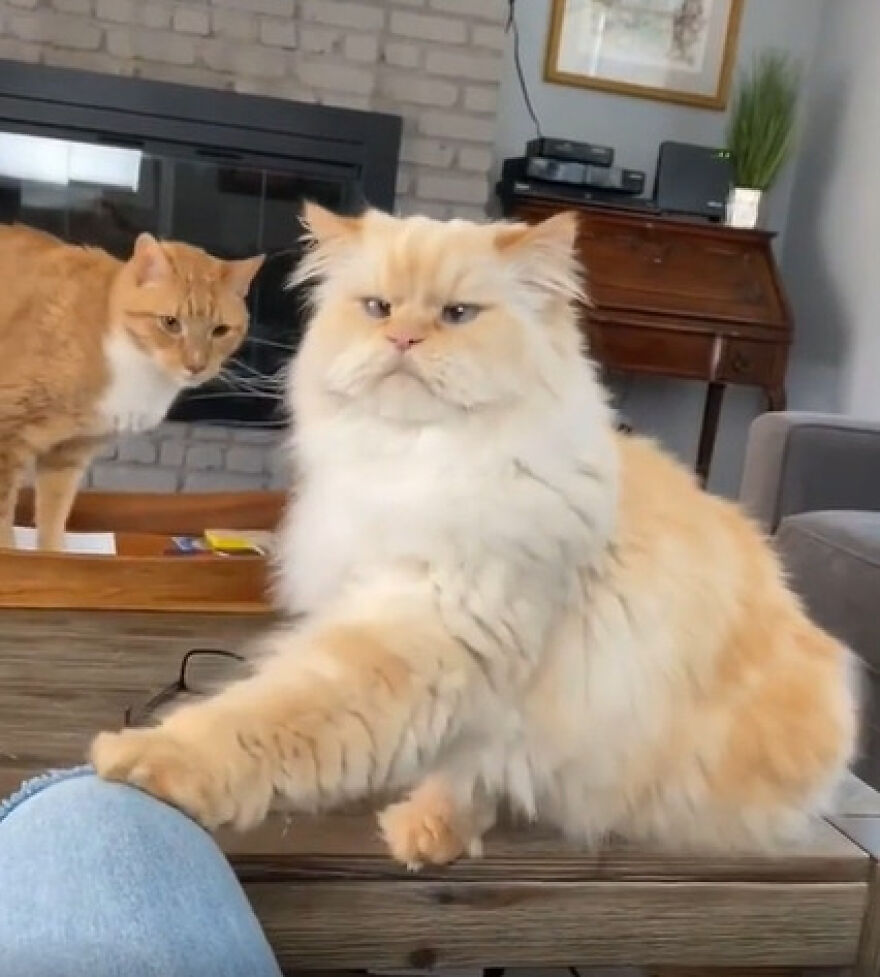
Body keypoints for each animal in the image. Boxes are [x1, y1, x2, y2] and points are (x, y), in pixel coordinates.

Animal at [0, 225, 262, 552]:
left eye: (220, 331)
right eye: (171, 323)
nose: (196, 365)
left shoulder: (67, 455)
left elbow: (52, 520)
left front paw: (53, 554)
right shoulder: (7, 438)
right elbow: (4, 528)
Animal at [93, 206, 856, 860]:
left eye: (457, 315)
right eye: (377, 308)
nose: (403, 338)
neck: (414, 460)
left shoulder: (432, 631)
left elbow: (260, 719)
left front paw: (133, 756)